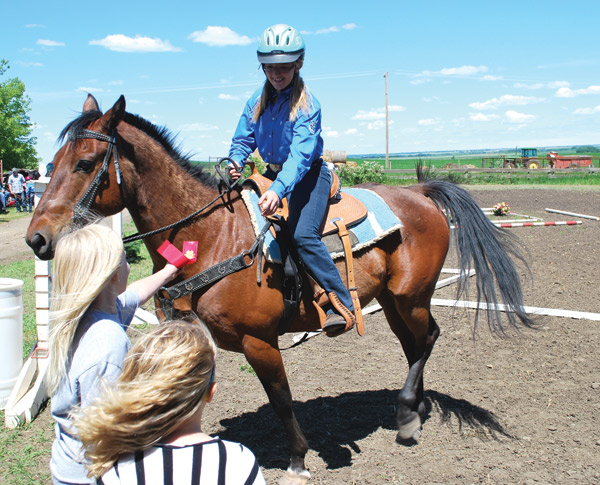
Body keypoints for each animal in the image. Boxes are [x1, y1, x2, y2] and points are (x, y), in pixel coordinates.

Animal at [27, 93, 536, 480]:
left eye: (86, 163)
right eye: (51, 164)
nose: (37, 239)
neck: (214, 236)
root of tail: (421, 192)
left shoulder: (260, 341)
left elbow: (281, 400)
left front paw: (297, 459)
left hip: (411, 297)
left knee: (428, 337)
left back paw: (409, 415)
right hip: (393, 302)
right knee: (415, 346)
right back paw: (415, 411)